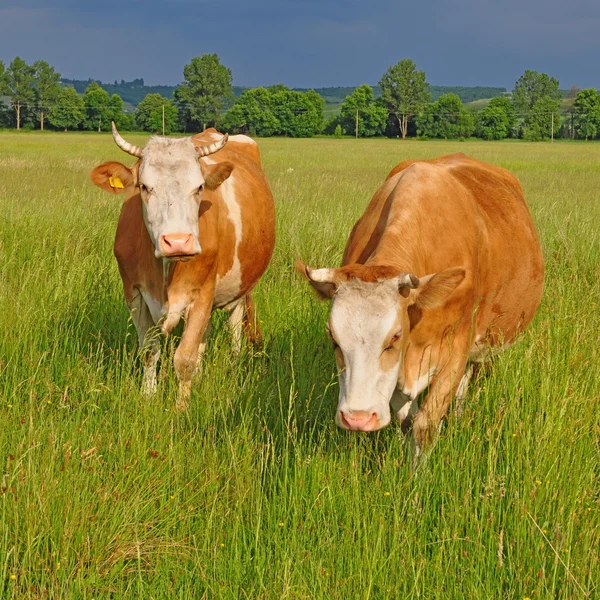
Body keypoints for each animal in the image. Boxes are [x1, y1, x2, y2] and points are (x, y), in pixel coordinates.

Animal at [90, 124, 276, 410]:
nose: (177, 241)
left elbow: (184, 359)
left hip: (241, 284)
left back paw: (234, 364)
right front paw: (149, 396)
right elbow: (149, 351)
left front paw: (181, 408)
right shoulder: (134, 294)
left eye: (199, 187)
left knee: (234, 325)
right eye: (144, 186)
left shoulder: (202, 293)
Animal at [298, 152, 544, 452]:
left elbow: (425, 426)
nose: (357, 418)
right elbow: (406, 421)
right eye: (333, 337)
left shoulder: (456, 349)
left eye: (394, 337)